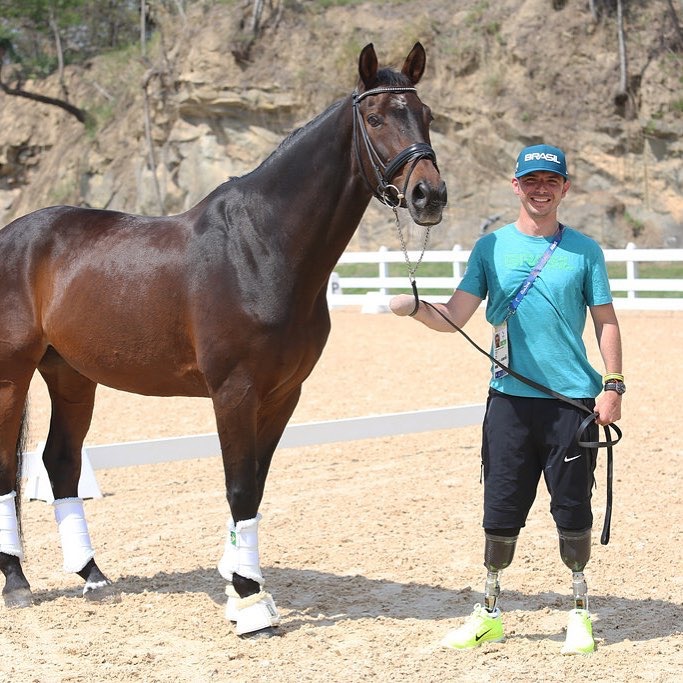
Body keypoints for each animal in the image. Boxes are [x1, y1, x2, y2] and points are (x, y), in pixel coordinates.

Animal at [0, 42, 446, 636]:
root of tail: (12, 236)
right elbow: (238, 486)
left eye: (426, 115)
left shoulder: (283, 394)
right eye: (374, 119)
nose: (429, 195)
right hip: (12, 374)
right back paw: (16, 582)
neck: (261, 247)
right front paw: (250, 602)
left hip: (71, 375)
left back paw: (92, 575)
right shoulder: (234, 392)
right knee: (8, 466)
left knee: (61, 462)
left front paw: (240, 580)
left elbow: (254, 486)